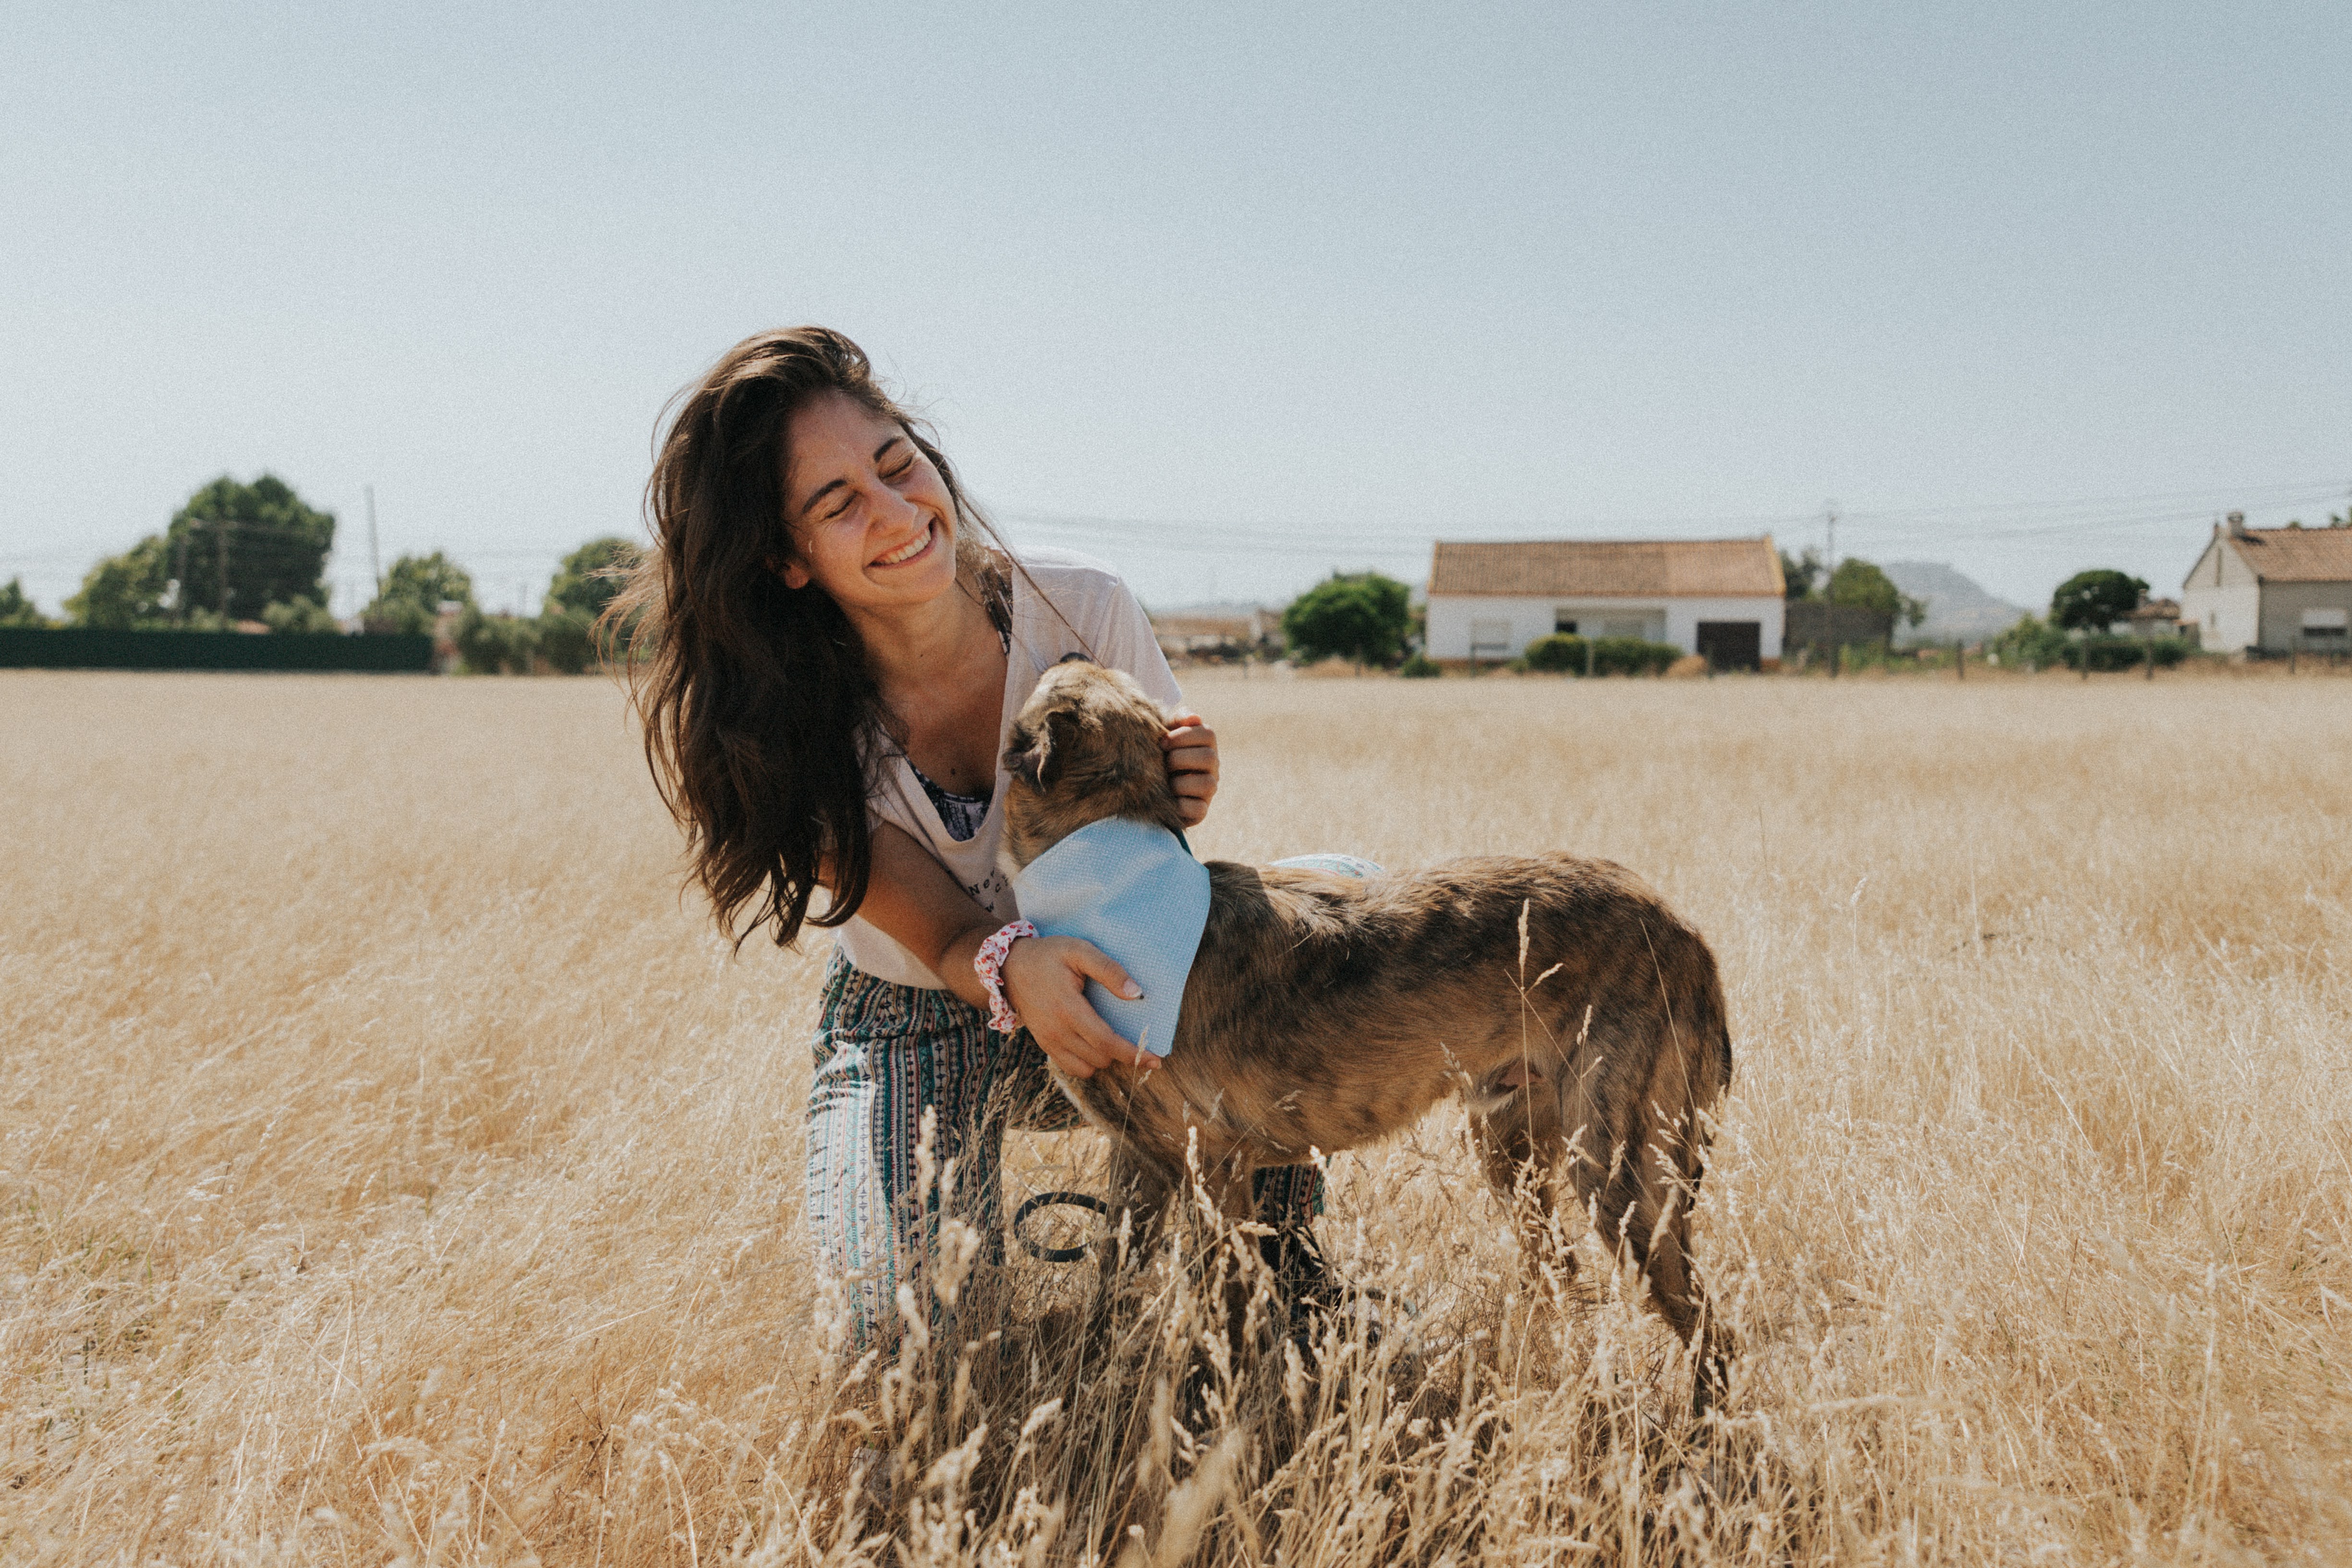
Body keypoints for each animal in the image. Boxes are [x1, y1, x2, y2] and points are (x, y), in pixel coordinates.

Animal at [1002, 658, 1740, 1401]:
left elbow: (1231, 1316)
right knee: (1561, 1272)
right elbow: (1112, 1286)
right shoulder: (1140, 1165)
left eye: (1061, 679)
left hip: (1617, 1172)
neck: (1115, 880)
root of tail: (1686, 932)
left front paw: (1222, 1406)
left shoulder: (1214, 1171)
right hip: (1512, 1151)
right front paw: (1090, 1375)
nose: (1064, 650)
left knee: (1712, 1327)